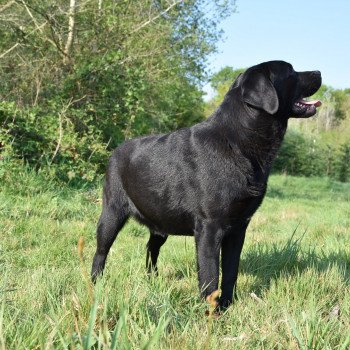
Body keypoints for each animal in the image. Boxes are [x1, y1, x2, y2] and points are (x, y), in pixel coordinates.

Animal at [91, 61, 322, 308]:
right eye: (290, 71)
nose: (318, 72)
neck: (237, 142)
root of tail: (115, 150)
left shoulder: (239, 227)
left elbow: (230, 271)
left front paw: (228, 305)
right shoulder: (210, 227)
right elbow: (211, 275)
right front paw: (211, 311)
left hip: (160, 222)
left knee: (151, 250)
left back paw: (152, 280)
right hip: (111, 213)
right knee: (101, 251)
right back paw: (95, 284)